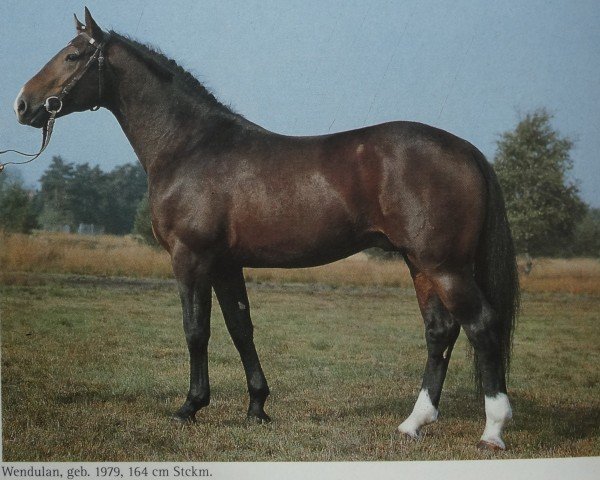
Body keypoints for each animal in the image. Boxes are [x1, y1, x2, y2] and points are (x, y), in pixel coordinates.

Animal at [15, 9, 520, 452]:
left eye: (73, 56)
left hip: (445, 266)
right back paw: (413, 423)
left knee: (481, 325)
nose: (23, 104)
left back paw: (492, 431)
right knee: (441, 332)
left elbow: (196, 330)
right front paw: (257, 408)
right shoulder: (225, 263)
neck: (190, 145)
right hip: (420, 264)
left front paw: (189, 408)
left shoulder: (190, 257)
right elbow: (241, 328)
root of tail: (466, 149)